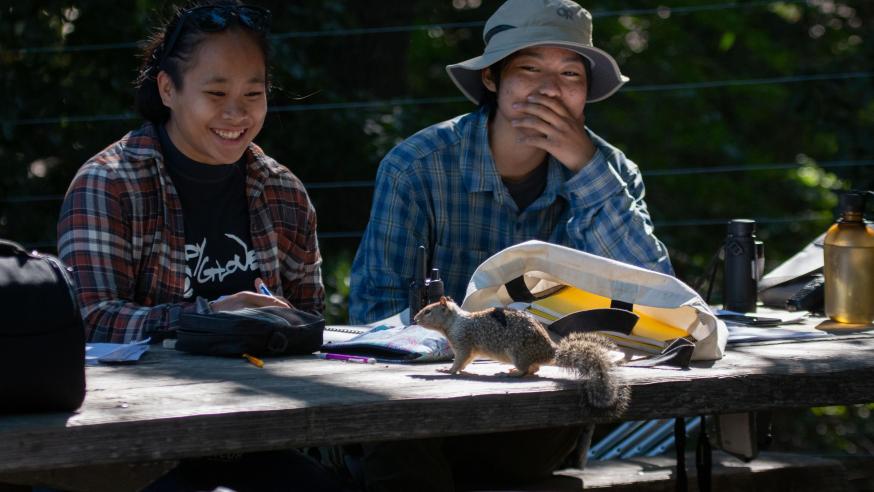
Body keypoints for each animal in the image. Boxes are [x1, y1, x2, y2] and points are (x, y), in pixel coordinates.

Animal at [414, 296, 629, 411]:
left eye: (428, 311)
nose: (415, 319)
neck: (455, 322)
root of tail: (549, 351)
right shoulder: (470, 350)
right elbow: (466, 362)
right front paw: (459, 370)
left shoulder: (464, 343)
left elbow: (459, 361)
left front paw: (447, 370)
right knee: (535, 369)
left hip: (518, 353)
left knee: (526, 370)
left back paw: (510, 373)